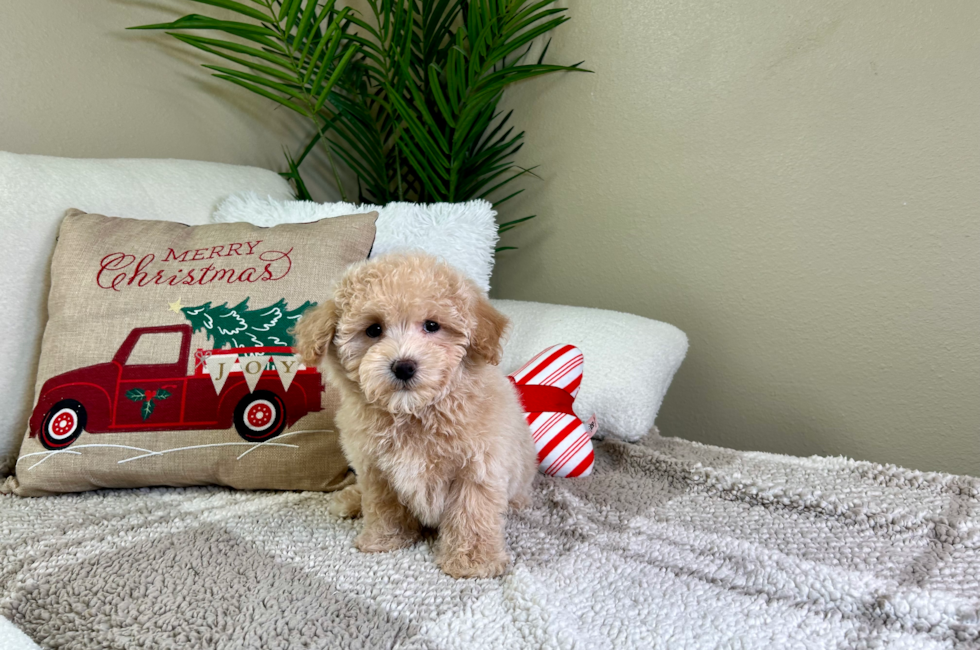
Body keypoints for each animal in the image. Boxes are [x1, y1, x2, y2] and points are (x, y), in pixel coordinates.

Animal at [292, 251, 536, 576]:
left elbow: (472, 513)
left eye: (432, 325)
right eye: (374, 330)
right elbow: (383, 506)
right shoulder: (376, 469)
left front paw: (472, 562)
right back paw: (350, 499)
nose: (404, 366)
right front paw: (385, 539)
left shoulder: (478, 467)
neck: (415, 413)